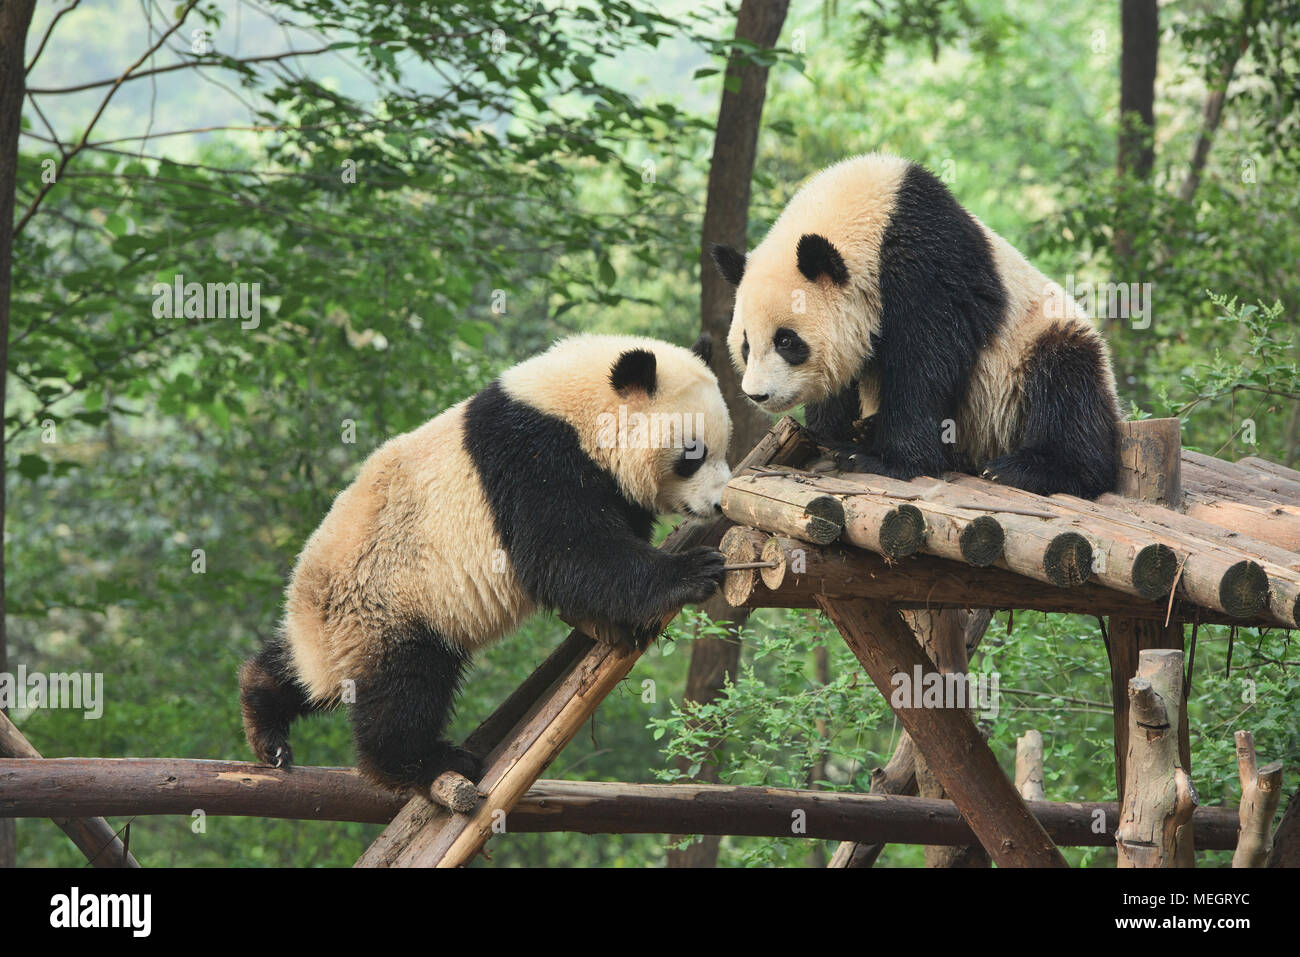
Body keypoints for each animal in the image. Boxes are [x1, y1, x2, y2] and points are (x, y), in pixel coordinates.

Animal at [241, 332, 733, 795]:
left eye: (723, 445)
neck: (574, 406)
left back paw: (266, 720)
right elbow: (565, 551)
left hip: (336, 629)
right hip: (385, 603)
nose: (717, 503)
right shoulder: (533, 458)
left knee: (299, 674)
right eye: (692, 454)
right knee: (404, 688)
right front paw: (691, 572)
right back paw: (425, 762)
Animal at [707, 153, 1123, 496]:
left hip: (1031, 348)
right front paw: (830, 432)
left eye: (787, 341)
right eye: (746, 345)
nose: (758, 395)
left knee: (1067, 389)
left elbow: (925, 362)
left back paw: (1025, 469)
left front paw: (882, 459)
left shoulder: (928, 265)